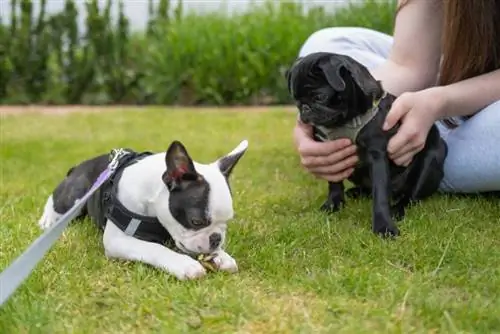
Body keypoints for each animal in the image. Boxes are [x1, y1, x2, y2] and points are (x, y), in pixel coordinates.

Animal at [38, 138, 249, 280]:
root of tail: (81, 164)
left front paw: (221, 256)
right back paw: (47, 220)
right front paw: (184, 264)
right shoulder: (117, 241)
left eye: (227, 222)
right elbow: (154, 248)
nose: (216, 239)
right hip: (76, 195)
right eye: (196, 221)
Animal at [288, 52, 448, 236]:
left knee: (410, 197)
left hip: (429, 162)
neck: (347, 121)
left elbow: (380, 195)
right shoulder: (332, 156)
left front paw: (384, 226)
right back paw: (356, 192)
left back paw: (397, 209)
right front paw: (333, 204)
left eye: (320, 97)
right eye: (295, 100)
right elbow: (334, 183)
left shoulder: (377, 156)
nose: (304, 108)